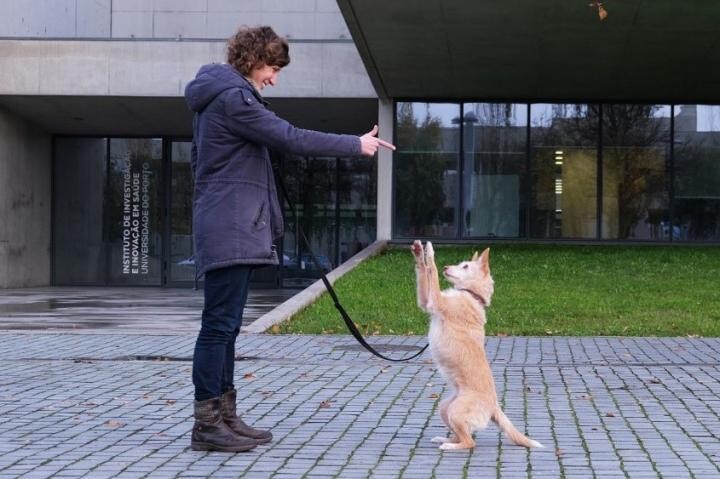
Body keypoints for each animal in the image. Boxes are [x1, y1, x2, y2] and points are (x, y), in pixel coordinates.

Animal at [410, 242, 540, 452]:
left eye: (465, 266)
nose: (446, 267)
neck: (472, 295)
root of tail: (494, 406)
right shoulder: (426, 301)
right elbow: (424, 273)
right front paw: (419, 253)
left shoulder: (435, 301)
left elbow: (433, 272)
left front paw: (430, 253)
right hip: (445, 408)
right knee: (461, 435)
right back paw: (445, 439)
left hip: (456, 411)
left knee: (470, 442)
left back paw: (449, 446)